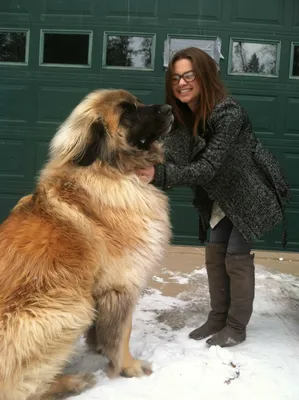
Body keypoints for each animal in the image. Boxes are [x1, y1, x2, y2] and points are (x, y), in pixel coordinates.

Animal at [0, 90, 173, 400]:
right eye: (127, 113)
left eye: (138, 103)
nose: (168, 108)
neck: (110, 169)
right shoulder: (122, 283)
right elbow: (123, 331)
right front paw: (128, 366)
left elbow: (105, 330)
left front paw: (101, 348)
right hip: (70, 307)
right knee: (23, 390)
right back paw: (72, 382)